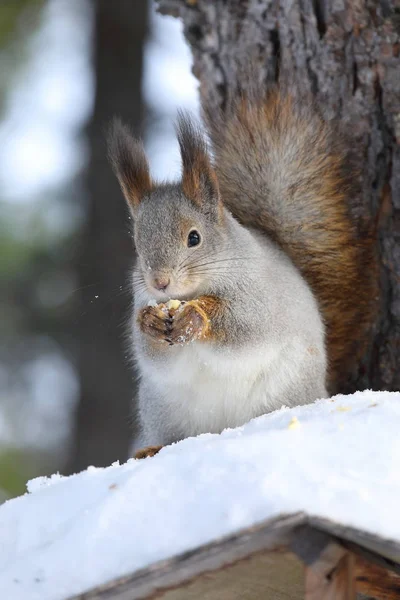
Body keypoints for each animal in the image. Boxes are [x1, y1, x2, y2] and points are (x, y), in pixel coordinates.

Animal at [108, 86, 376, 458]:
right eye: (137, 244)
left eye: (194, 238)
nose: (160, 283)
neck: (193, 290)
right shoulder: (142, 300)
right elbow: (152, 354)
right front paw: (149, 323)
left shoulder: (259, 296)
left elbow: (245, 329)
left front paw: (196, 316)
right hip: (162, 408)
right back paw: (153, 448)